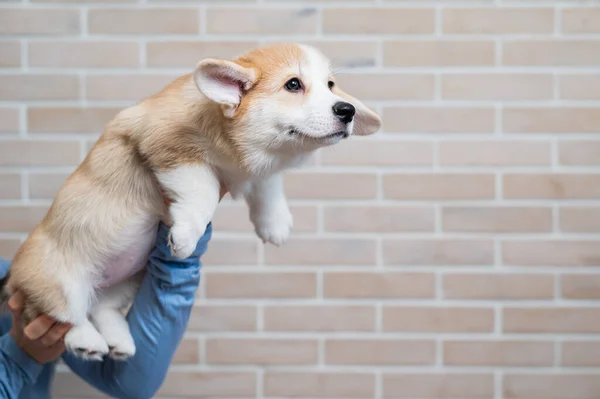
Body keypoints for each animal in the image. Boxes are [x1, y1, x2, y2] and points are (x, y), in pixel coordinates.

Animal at [0, 43, 382, 362]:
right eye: (293, 85)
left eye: (331, 84)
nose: (347, 110)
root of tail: (13, 277)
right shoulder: (172, 148)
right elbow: (203, 189)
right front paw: (185, 237)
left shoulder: (256, 168)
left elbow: (268, 183)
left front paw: (275, 222)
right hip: (60, 280)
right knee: (61, 314)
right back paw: (86, 342)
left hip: (125, 281)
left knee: (100, 308)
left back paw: (121, 343)